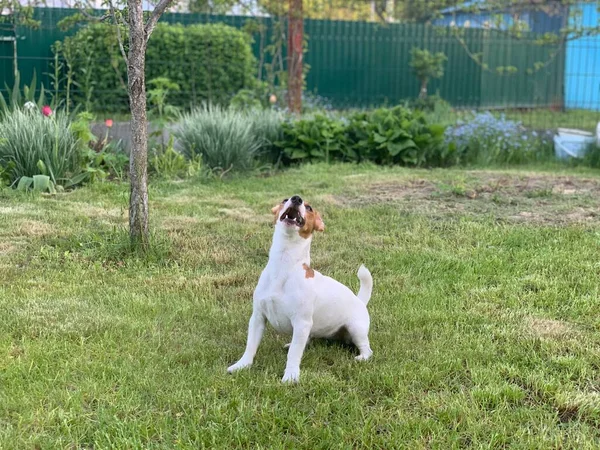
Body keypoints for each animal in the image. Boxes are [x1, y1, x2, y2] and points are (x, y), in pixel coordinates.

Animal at [227, 195, 372, 382]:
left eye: (309, 208)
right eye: (284, 199)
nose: (296, 198)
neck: (283, 265)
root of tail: (359, 300)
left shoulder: (301, 322)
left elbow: (295, 353)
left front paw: (290, 376)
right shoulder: (258, 318)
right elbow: (251, 345)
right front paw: (242, 365)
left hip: (356, 329)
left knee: (366, 347)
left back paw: (362, 357)